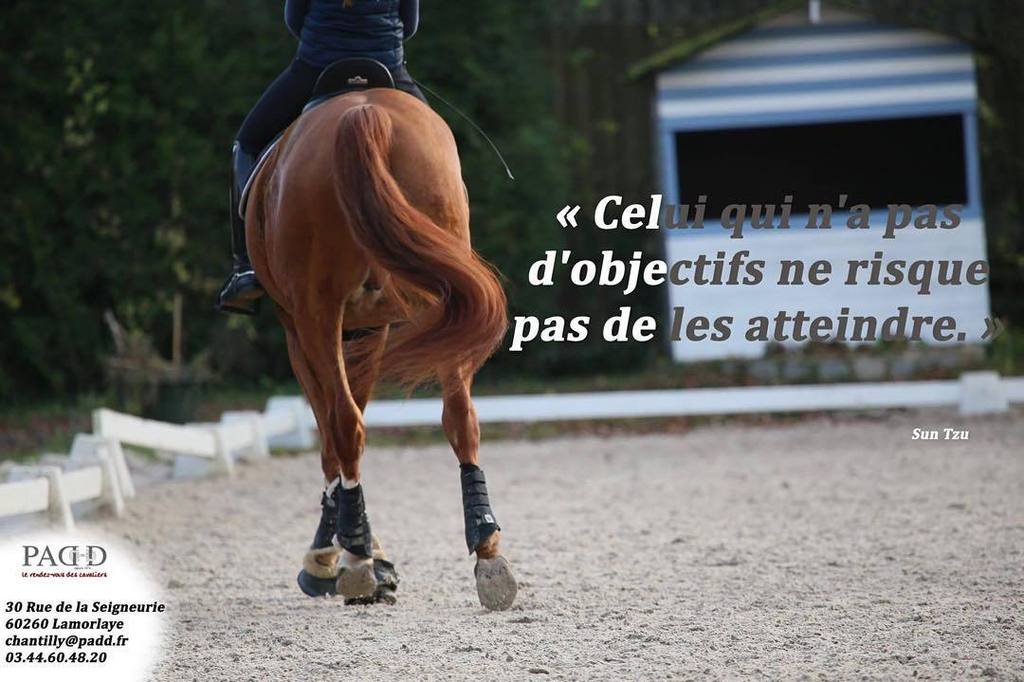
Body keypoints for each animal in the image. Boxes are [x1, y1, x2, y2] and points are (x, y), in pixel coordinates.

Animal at [243, 87, 516, 610]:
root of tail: (364, 112)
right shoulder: (372, 329)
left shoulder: (303, 329)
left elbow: (330, 436)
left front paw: (333, 555)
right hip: (447, 296)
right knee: (460, 418)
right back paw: (488, 554)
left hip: (320, 313)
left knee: (345, 425)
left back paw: (354, 560)